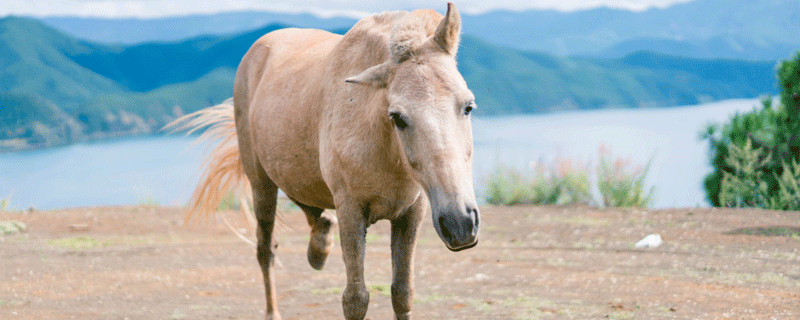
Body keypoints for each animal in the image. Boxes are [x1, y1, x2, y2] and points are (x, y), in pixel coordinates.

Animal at [169, 3, 478, 320]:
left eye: (468, 106)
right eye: (398, 118)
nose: (459, 224)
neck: (386, 149)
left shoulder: (412, 212)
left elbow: (403, 293)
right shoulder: (350, 209)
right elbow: (355, 298)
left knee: (309, 205)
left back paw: (319, 247)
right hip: (261, 184)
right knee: (266, 250)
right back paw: (275, 307)